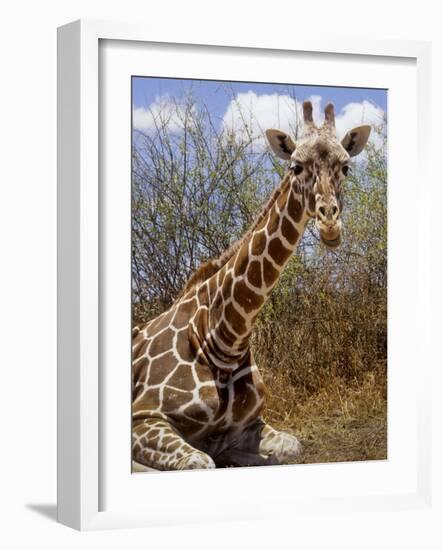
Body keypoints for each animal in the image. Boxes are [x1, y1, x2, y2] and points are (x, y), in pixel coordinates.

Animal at [131, 103, 370, 474]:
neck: (223, 336)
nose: (329, 223)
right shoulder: (143, 416)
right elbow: (199, 462)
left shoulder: (248, 425)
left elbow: (291, 448)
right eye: (295, 166)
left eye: (345, 166)